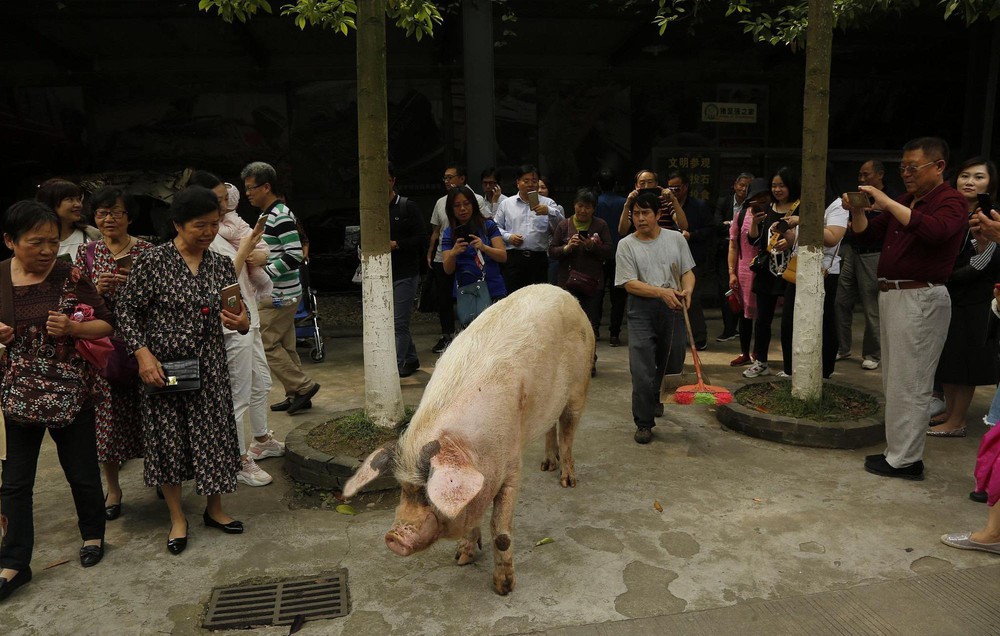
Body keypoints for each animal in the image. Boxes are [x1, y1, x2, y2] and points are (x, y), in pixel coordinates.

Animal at [344, 284, 592, 596]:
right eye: (404, 488)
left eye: (428, 492)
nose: (394, 537)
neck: (473, 452)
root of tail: (566, 294)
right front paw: (461, 559)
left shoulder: (512, 464)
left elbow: (500, 530)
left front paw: (503, 589)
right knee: (551, 428)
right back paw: (547, 466)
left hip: (580, 385)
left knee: (568, 429)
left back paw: (567, 481)